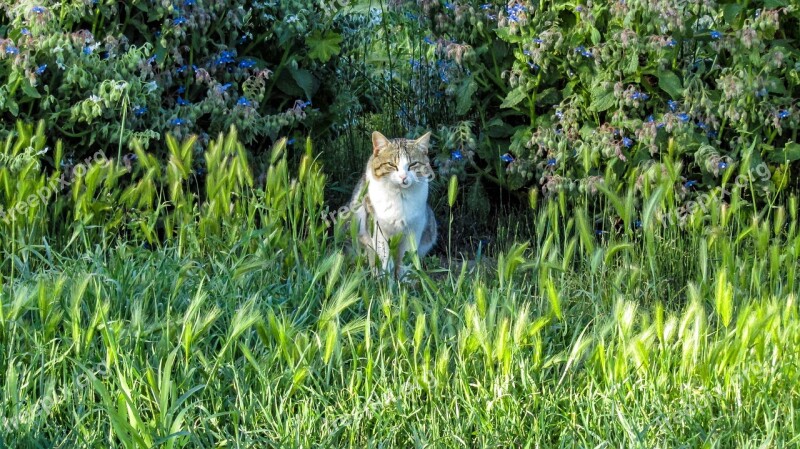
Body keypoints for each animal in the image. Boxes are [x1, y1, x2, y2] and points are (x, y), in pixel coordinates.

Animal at [348, 130, 438, 276]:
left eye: (413, 164)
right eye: (391, 165)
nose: (403, 177)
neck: (400, 196)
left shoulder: (414, 228)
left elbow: (406, 259)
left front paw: (404, 279)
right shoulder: (378, 230)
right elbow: (384, 259)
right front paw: (385, 279)